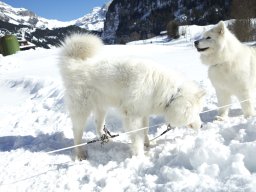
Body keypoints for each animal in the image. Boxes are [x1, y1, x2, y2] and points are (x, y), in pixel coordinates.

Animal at [59, 33, 205, 160]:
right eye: (196, 112)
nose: (203, 126)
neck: (168, 93)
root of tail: (75, 66)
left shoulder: (144, 113)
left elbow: (145, 131)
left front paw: (148, 144)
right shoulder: (132, 117)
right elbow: (137, 138)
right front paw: (140, 157)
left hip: (101, 108)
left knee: (98, 125)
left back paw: (106, 138)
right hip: (81, 111)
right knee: (77, 133)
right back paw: (80, 153)